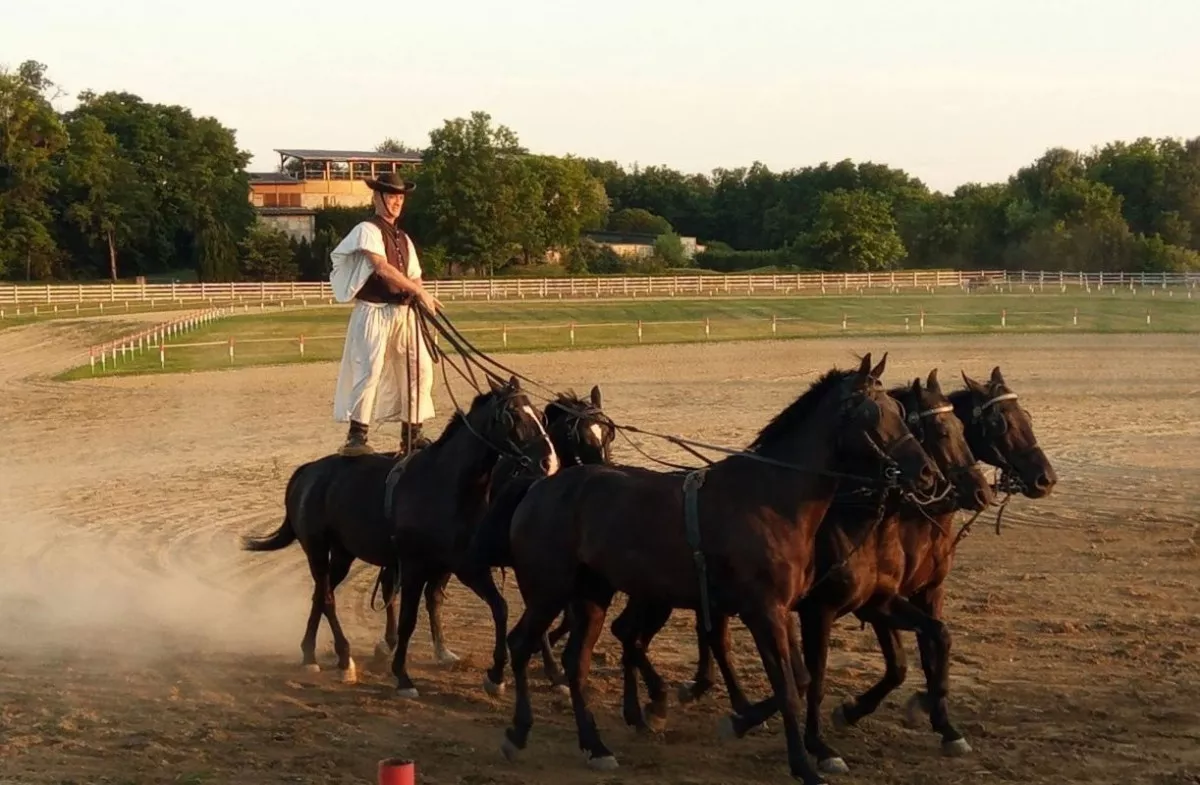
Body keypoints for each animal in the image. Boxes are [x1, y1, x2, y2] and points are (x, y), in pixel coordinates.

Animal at [494, 357, 936, 785]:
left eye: (899, 410)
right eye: (872, 412)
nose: (927, 472)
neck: (769, 498)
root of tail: (539, 487)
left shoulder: (785, 609)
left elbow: (801, 679)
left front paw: (745, 721)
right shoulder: (764, 610)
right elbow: (789, 687)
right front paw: (802, 764)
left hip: (593, 595)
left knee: (577, 662)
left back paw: (596, 745)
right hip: (549, 591)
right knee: (522, 645)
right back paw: (518, 732)